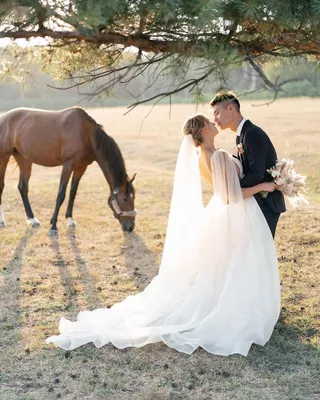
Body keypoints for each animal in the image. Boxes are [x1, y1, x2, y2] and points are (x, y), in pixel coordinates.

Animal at [0, 106, 136, 234]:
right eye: (125, 199)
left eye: (133, 197)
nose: (130, 227)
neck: (85, 133)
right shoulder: (68, 165)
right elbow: (61, 194)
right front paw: (53, 226)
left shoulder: (81, 167)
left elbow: (72, 192)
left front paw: (69, 219)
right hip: (4, 157)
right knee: (2, 186)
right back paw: (2, 221)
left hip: (24, 160)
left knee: (23, 187)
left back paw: (32, 219)